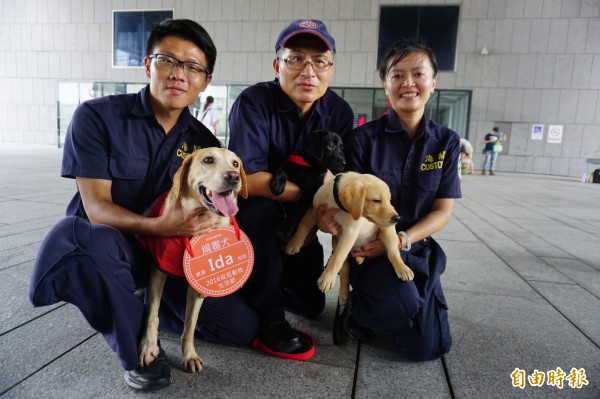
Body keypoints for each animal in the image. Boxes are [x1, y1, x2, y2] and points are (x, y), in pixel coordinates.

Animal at [138, 148, 246, 376]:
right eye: (208, 159)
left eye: (235, 163)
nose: (234, 177)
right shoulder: (158, 270)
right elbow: (152, 313)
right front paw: (148, 346)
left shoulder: (198, 283)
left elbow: (190, 325)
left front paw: (189, 356)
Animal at [284, 172, 412, 306]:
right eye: (377, 200)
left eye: (389, 200)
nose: (397, 218)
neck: (336, 205)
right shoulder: (314, 209)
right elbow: (303, 225)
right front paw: (293, 244)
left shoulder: (350, 232)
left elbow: (337, 257)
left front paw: (327, 278)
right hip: (338, 245)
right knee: (345, 272)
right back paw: (343, 294)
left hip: (387, 231)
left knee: (393, 253)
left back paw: (403, 269)